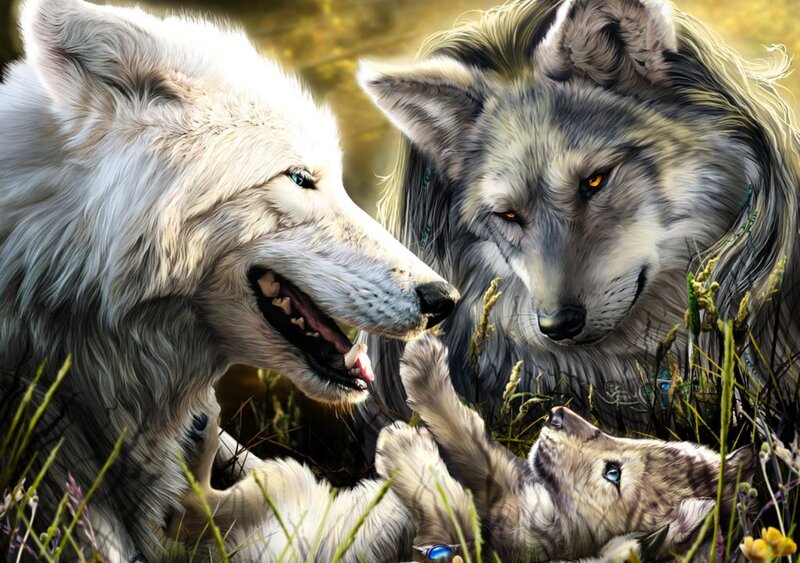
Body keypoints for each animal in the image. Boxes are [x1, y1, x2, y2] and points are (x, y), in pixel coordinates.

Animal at [376, 334, 755, 561]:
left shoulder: (492, 544)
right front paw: (424, 365)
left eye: (613, 473)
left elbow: (450, 504)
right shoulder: (509, 488)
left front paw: (403, 445)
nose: (557, 414)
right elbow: (471, 436)